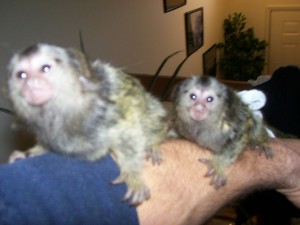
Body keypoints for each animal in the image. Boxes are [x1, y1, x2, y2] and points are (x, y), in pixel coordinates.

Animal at [7, 43, 169, 205]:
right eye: (22, 75)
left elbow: (128, 133)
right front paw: (29, 153)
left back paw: (154, 143)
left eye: (45, 68)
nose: (31, 83)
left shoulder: (109, 110)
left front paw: (132, 174)